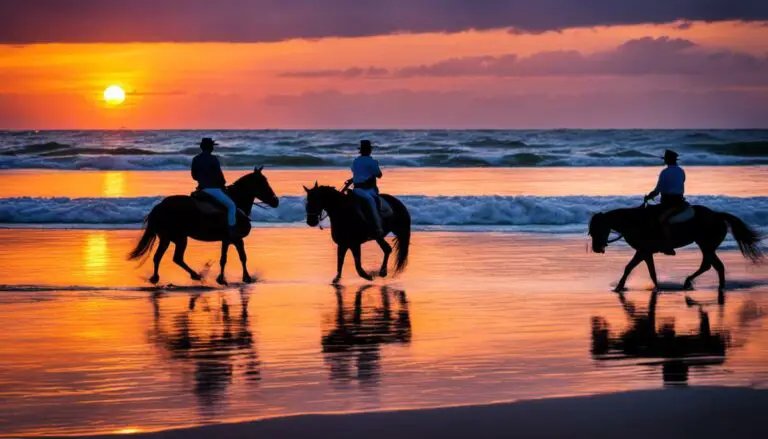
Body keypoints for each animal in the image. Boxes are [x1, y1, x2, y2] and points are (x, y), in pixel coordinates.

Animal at [128, 167, 280, 288]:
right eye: (262, 182)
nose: (275, 201)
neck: (237, 203)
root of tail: (159, 206)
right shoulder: (235, 239)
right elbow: (237, 257)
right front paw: (240, 278)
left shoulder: (228, 240)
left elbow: (230, 258)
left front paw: (227, 279)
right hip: (179, 238)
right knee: (175, 258)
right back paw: (194, 275)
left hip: (168, 238)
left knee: (161, 257)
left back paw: (159, 278)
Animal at [588, 205, 760, 298]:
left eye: (598, 228)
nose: (596, 248)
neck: (634, 221)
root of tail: (717, 215)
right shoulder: (646, 253)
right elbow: (650, 272)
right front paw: (656, 287)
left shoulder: (643, 251)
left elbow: (629, 267)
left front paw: (618, 287)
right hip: (707, 247)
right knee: (711, 266)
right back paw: (692, 283)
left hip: (706, 246)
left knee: (715, 266)